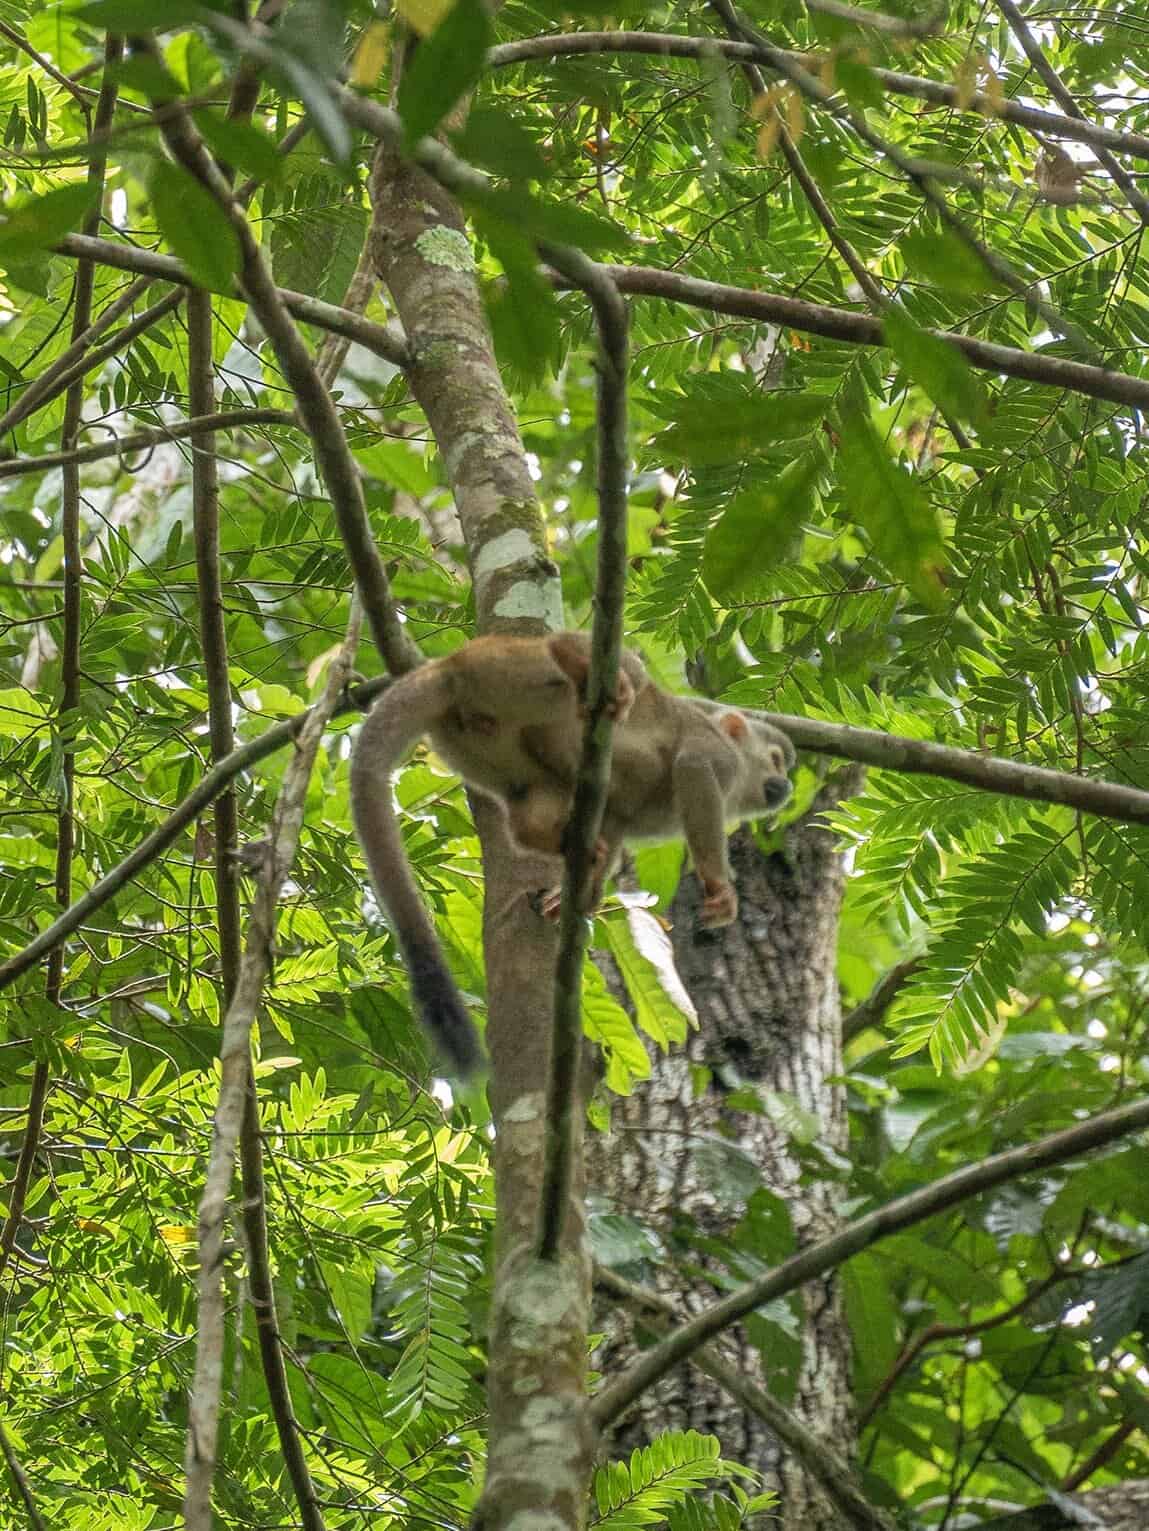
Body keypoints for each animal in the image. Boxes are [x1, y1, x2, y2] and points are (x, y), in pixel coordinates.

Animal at [350, 632, 795, 1073]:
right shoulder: (719, 756)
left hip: (467, 741)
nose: (786, 786)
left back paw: (544, 835)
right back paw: (575, 657)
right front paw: (719, 886)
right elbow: (692, 769)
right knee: (608, 671)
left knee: (529, 790)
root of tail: (447, 665)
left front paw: (584, 891)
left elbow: (614, 817)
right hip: (503, 668)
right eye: (775, 761)